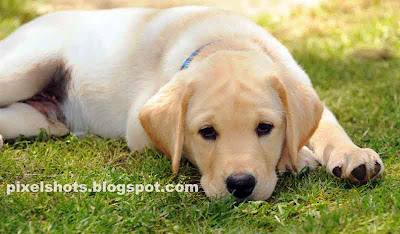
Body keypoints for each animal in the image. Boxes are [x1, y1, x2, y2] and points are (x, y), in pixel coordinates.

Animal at [0, 6, 382, 201]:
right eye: (207, 132)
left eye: (265, 128)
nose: (241, 186)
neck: (225, 40)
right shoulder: (139, 128)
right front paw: (297, 156)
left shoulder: (306, 91)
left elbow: (329, 127)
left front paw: (353, 155)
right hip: (23, 66)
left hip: (39, 119)